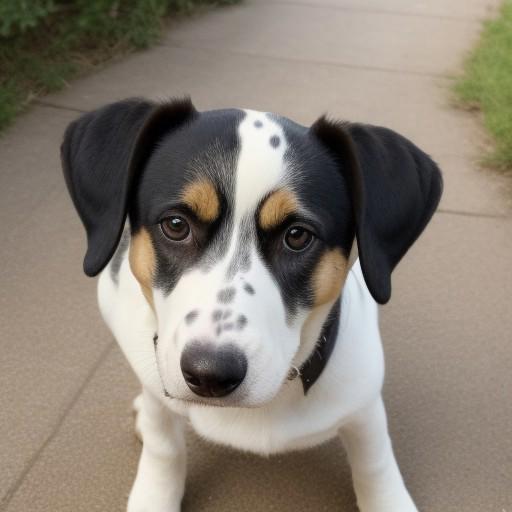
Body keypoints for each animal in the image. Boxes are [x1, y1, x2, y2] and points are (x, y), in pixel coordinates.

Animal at [60, 97, 442, 512]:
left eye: (297, 235)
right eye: (176, 225)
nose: (210, 375)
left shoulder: (363, 408)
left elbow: (375, 463)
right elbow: (164, 447)